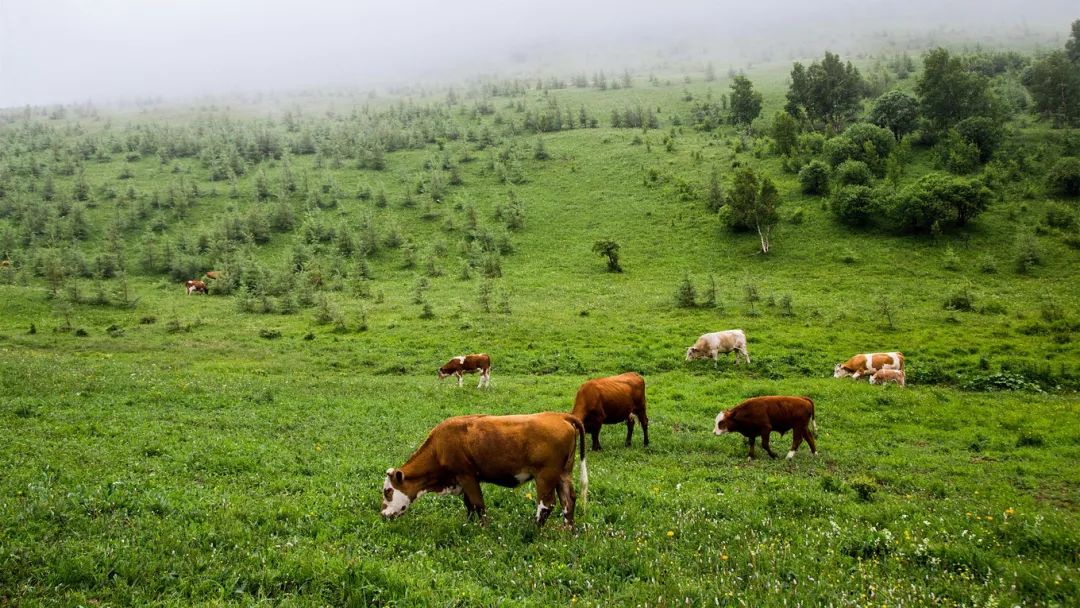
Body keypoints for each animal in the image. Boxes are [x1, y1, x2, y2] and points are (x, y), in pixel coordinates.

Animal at [382, 414, 591, 529]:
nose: (382, 515)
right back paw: (567, 530)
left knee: (546, 504)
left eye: (388, 491)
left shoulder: (467, 476)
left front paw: (483, 529)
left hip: (545, 476)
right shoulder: (464, 479)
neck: (439, 446)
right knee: (568, 500)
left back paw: (534, 530)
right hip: (563, 474)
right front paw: (468, 524)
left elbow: (478, 504)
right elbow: (469, 505)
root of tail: (560, 415)